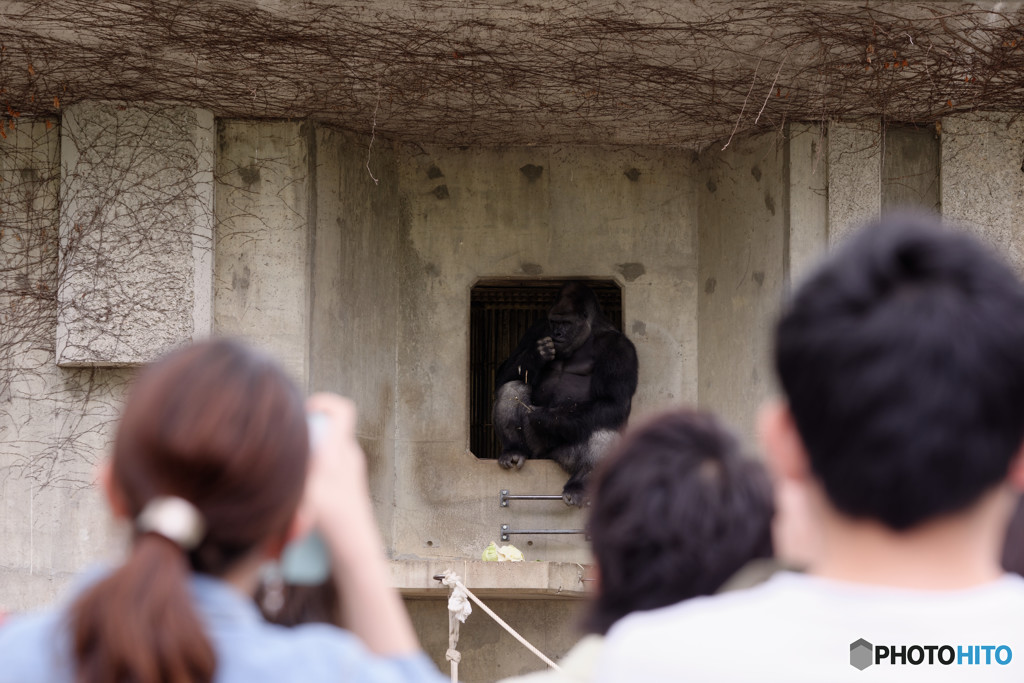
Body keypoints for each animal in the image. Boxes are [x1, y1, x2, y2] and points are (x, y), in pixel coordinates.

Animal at [489, 280, 638, 505]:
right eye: (554, 322)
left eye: (566, 323)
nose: (557, 335)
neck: (588, 333)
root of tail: (545, 457)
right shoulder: (538, 328)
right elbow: (504, 375)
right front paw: (536, 354)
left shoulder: (619, 347)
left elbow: (612, 401)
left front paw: (544, 418)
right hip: (536, 452)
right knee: (513, 386)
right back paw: (513, 450)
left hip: (562, 455)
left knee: (603, 427)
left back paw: (580, 483)